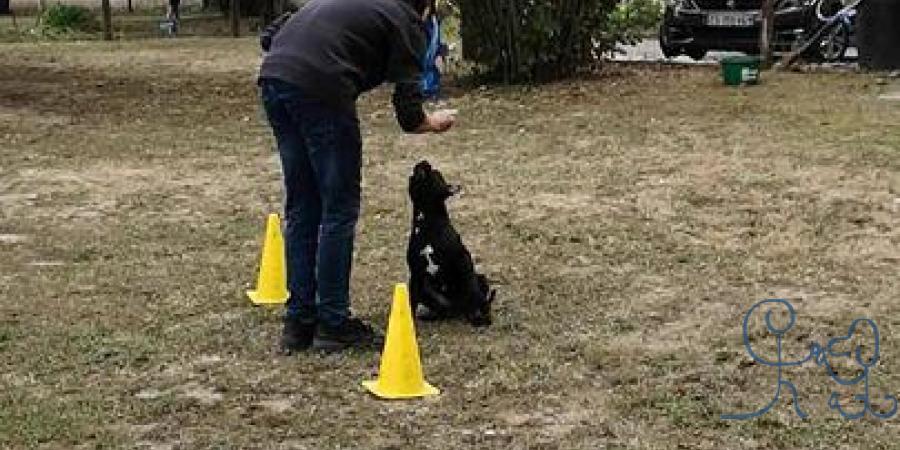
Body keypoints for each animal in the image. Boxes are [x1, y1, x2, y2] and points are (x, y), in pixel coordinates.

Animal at [406, 161, 496, 326]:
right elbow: (411, 302)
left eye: (436, 175)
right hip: (426, 289)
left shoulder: (462, 260)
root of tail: (456, 309)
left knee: (477, 299)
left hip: (481, 278)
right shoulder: (416, 274)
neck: (427, 223)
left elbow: (472, 290)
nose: (425, 162)